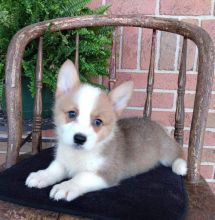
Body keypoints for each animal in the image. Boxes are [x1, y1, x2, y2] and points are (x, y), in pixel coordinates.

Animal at [25, 59, 186, 202]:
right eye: (72, 114)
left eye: (98, 122)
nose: (79, 139)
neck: (79, 155)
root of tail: (155, 123)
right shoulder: (62, 162)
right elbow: (54, 169)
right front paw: (41, 176)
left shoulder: (106, 174)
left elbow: (81, 177)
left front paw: (66, 186)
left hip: (167, 152)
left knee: (179, 152)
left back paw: (180, 166)